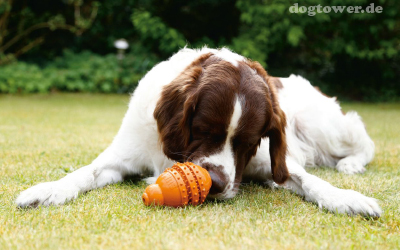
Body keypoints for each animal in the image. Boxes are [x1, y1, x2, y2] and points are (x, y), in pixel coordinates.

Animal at [15, 47, 382, 216]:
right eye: (202, 129)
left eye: (249, 142)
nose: (216, 184)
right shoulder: (122, 156)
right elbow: (86, 172)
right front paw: (48, 190)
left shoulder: (270, 162)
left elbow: (309, 180)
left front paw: (347, 198)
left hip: (322, 125)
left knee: (363, 137)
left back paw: (351, 164)